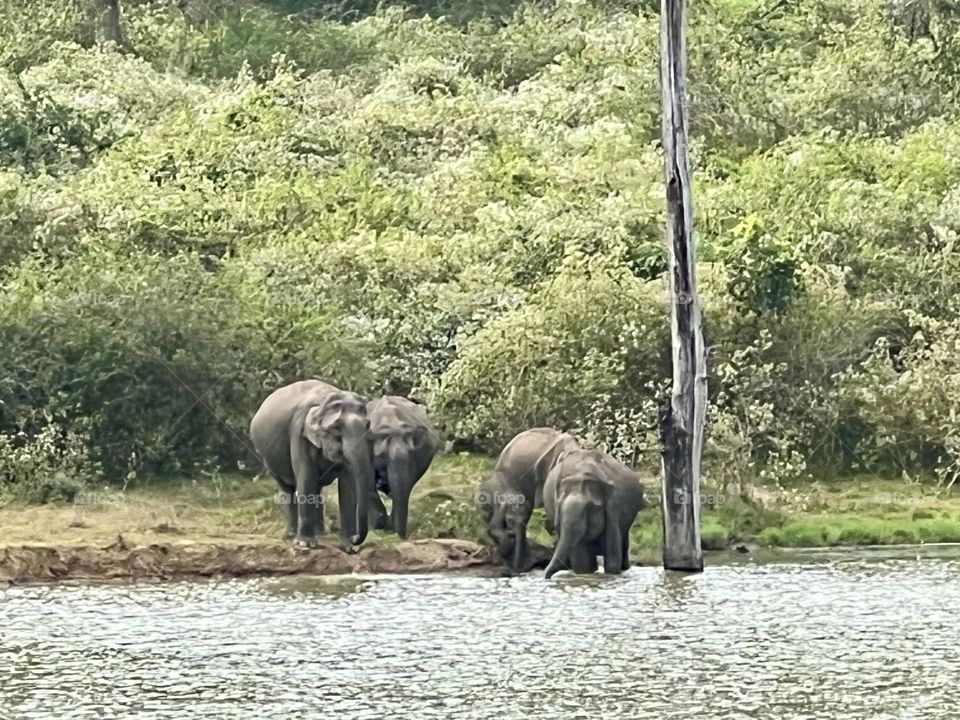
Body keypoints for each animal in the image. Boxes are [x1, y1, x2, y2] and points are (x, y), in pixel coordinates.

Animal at [249, 380, 374, 556]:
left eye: (368, 426)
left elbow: (347, 485)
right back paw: (291, 536)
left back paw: (320, 534)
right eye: (336, 429)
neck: (323, 401)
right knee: (287, 488)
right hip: (267, 458)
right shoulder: (299, 432)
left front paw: (349, 547)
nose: (356, 538)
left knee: (317, 489)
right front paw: (305, 544)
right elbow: (306, 477)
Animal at [540, 450, 644, 580]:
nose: (546, 577)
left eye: (589, 508)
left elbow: (613, 560)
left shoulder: (614, 506)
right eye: (559, 507)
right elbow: (583, 564)